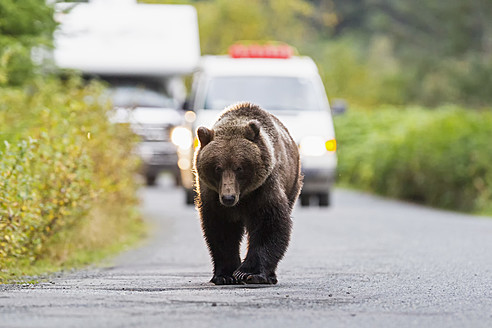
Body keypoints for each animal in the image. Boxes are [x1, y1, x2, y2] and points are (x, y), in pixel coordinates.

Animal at [194, 102, 302, 284]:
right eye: (217, 168)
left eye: (239, 167)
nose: (228, 197)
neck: (243, 197)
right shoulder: (213, 196)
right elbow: (221, 230)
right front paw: (225, 275)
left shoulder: (264, 188)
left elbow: (269, 224)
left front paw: (248, 272)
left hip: (293, 182)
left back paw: (271, 276)